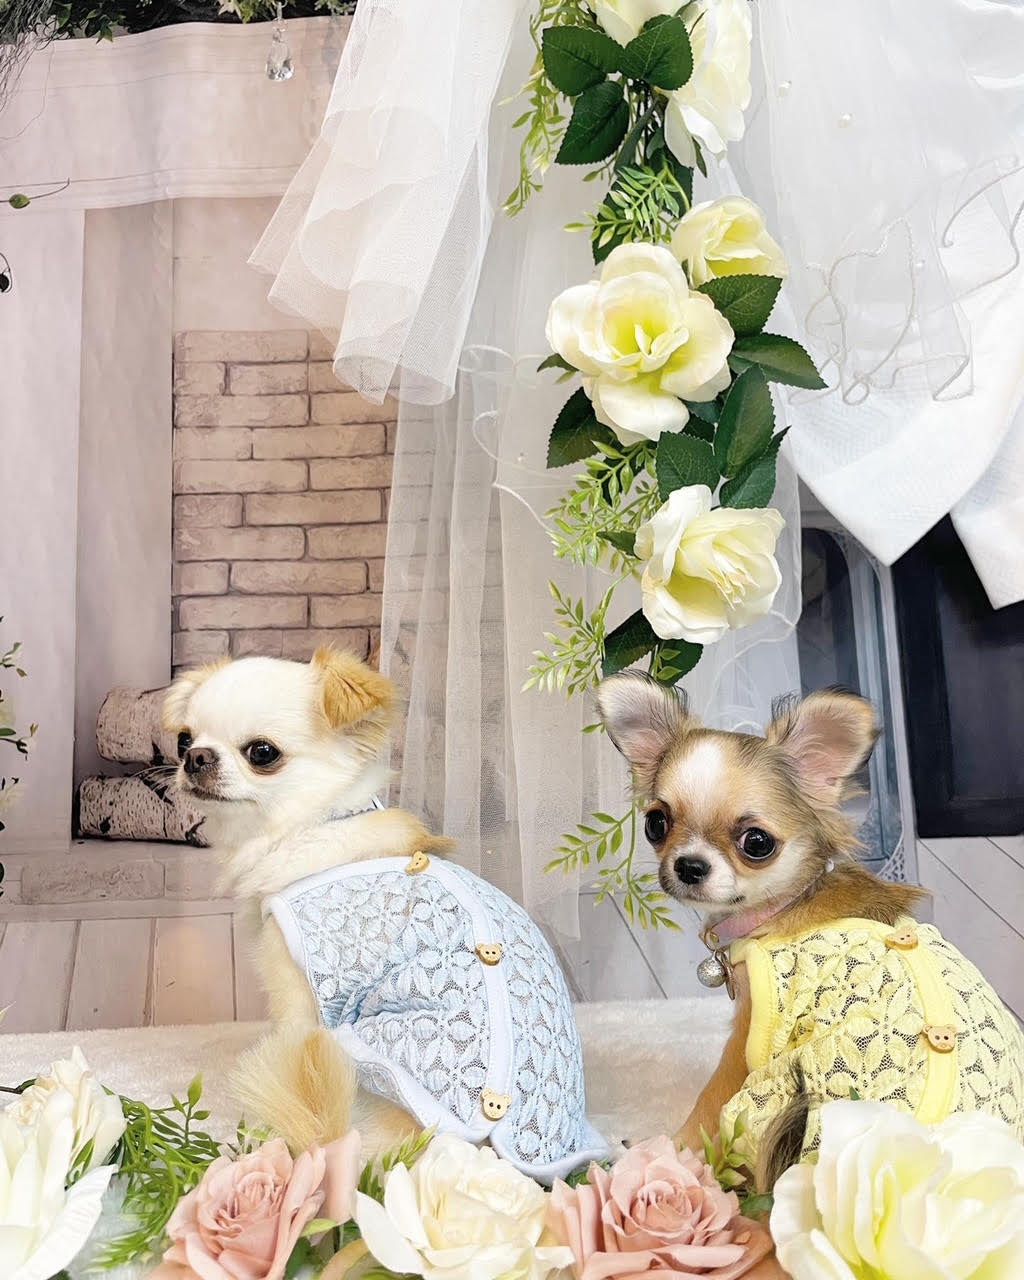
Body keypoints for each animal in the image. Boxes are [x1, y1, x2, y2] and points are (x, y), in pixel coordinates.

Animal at [164, 648, 606, 1179]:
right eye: (184, 739)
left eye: (262, 753)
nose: (195, 758)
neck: (314, 824)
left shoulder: (298, 995)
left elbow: (291, 1039)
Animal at [597, 672, 1024, 1186]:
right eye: (656, 824)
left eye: (756, 843)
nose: (689, 865)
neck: (780, 907)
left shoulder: (747, 1040)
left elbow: (707, 1104)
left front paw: (665, 1149)